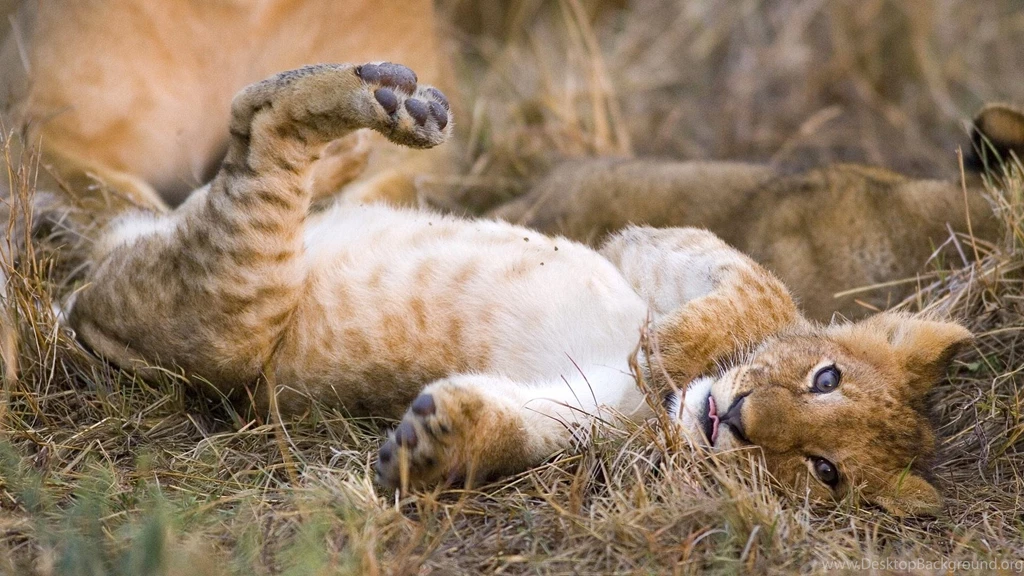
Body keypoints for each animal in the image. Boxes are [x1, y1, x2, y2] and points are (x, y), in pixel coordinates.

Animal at [63, 62, 968, 517]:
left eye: (823, 470)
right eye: (825, 377)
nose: (739, 422)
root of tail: (85, 319)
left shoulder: (585, 419)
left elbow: (514, 431)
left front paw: (432, 447)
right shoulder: (652, 244)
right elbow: (761, 294)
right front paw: (670, 347)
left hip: (231, 304)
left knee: (257, 134)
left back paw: (386, 99)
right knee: (257, 122)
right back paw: (397, 100)